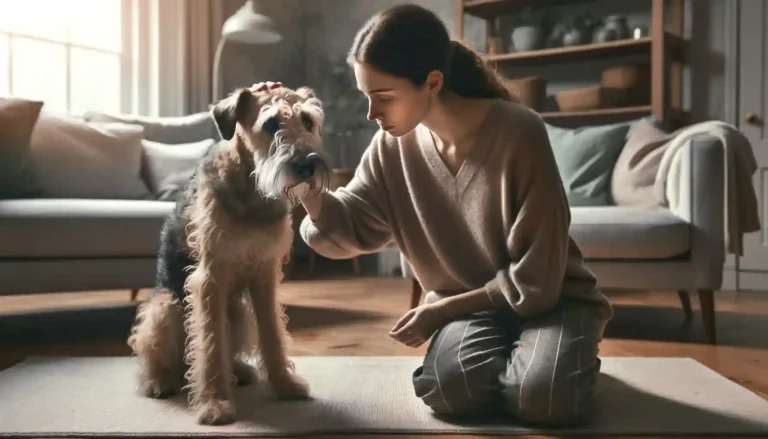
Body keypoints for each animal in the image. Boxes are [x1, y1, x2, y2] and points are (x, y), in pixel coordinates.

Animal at [126, 86, 330, 426]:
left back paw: (241, 371)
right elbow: (210, 346)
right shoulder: (210, 279)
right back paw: (159, 380)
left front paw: (284, 385)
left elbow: (272, 335)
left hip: (237, 311)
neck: (252, 193)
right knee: (158, 357)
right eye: (271, 123)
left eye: (307, 120)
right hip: (165, 307)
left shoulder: (264, 276)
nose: (307, 165)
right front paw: (214, 404)